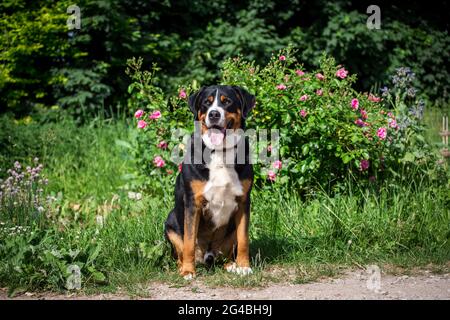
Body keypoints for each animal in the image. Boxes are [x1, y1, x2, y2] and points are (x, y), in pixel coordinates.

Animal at [163, 84, 255, 278]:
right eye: (207, 102)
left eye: (227, 102)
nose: (213, 114)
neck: (220, 152)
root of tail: (208, 256)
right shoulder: (193, 203)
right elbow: (189, 241)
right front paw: (188, 271)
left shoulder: (244, 201)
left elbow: (244, 239)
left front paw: (244, 266)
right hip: (171, 222)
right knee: (180, 251)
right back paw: (183, 266)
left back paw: (231, 264)